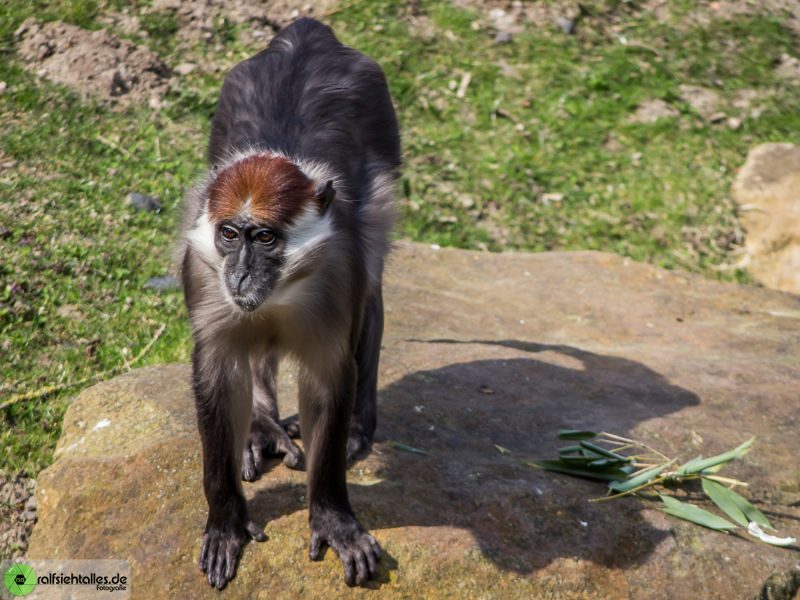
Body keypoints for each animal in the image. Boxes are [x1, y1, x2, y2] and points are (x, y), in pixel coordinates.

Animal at [176, 17, 400, 584]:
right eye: (230, 234)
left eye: (266, 238)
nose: (240, 274)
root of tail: (308, 33)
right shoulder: (204, 272)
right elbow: (217, 370)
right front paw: (226, 519)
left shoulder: (338, 267)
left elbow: (330, 374)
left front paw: (334, 517)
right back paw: (260, 424)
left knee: (373, 286)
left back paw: (360, 426)